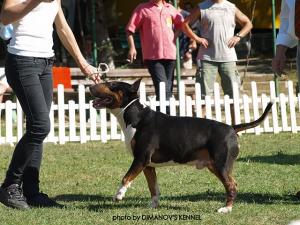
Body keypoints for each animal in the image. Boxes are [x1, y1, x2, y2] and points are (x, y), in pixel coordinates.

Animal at [88, 79, 272, 213]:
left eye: (112, 85)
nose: (90, 86)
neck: (136, 117)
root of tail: (232, 128)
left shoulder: (141, 158)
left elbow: (125, 178)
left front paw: (119, 195)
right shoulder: (148, 165)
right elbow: (153, 187)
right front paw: (153, 206)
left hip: (222, 165)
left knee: (232, 185)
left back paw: (226, 209)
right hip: (214, 165)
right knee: (232, 184)